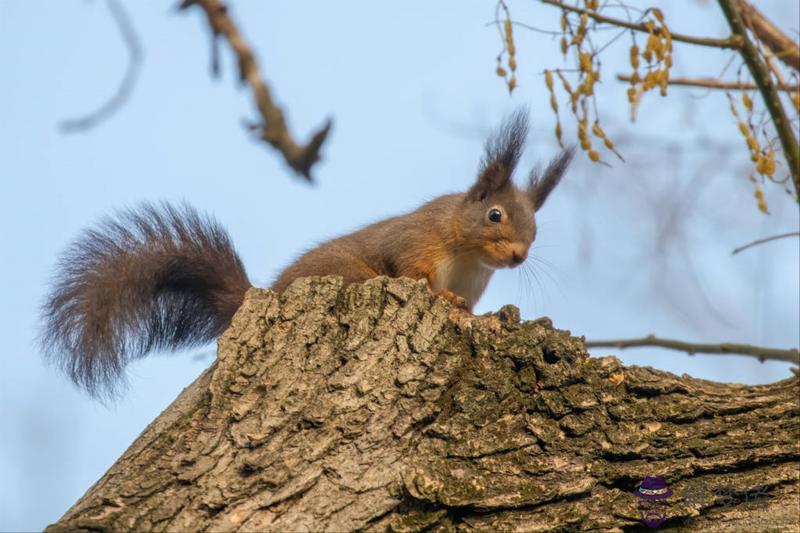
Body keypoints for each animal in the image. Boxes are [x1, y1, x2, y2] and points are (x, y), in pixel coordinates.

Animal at [40, 111, 572, 394]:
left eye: (536, 227)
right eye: (495, 216)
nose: (519, 256)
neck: (466, 257)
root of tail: (261, 295)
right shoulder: (415, 240)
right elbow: (412, 273)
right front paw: (442, 299)